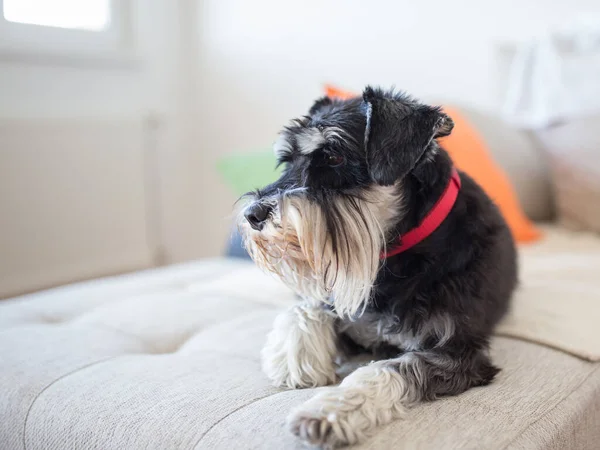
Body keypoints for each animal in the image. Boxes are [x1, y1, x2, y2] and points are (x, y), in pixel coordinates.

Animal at [237, 87, 516, 446]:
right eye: (287, 160)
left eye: (334, 157)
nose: (252, 215)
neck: (394, 258)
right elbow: (307, 305)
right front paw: (294, 360)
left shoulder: (457, 353)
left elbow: (389, 368)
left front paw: (329, 410)